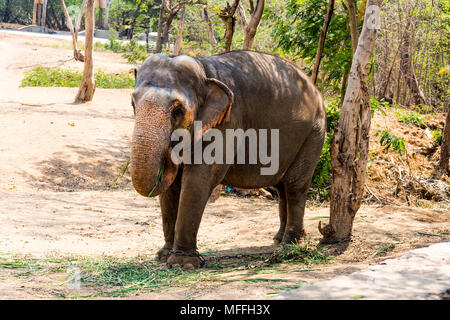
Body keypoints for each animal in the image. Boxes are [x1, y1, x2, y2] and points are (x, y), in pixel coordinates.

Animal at [128, 50, 326, 270]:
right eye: (133, 103)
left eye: (177, 110)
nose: (171, 152)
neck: (204, 69)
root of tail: (316, 90)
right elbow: (171, 188)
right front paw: (163, 256)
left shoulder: (227, 123)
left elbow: (197, 181)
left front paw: (183, 264)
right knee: (282, 187)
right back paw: (278, 239)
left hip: (313, 135)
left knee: (294, 185)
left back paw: (289, 244)